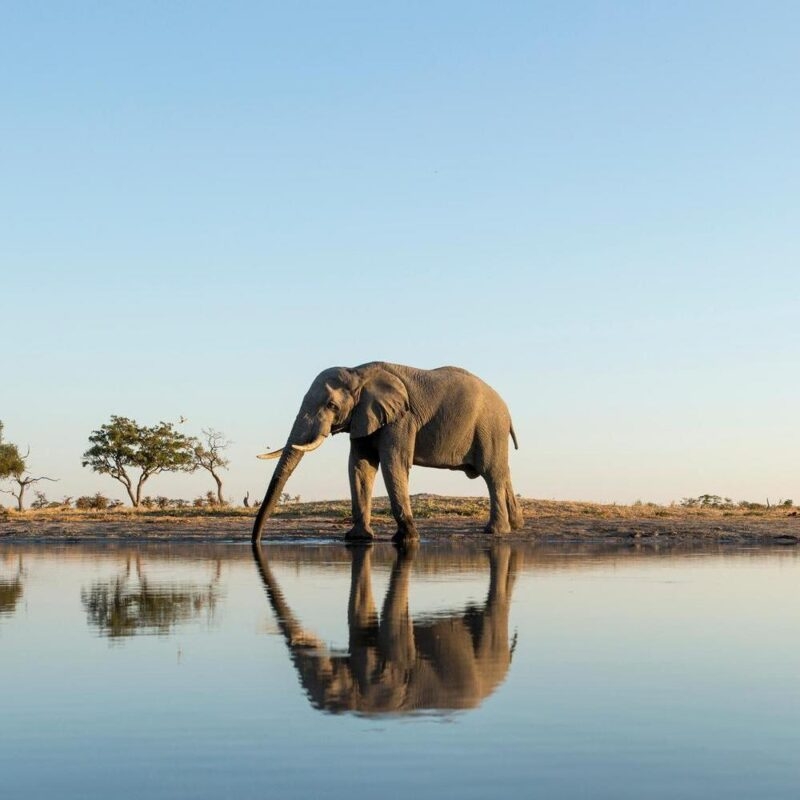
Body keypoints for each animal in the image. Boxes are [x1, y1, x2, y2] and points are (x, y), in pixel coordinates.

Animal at [252, 362, 523, 543]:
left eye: (331, 405)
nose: (255, 541)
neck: (358, 372)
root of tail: (507, 410)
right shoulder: (363, 418)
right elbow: (360, 466)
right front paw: (358, 538)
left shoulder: (401, 418)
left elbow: (393, 462)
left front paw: (407, 539)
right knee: (503, 472)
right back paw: (517, 525)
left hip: (489, 427)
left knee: (492, 473)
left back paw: (495, 531)